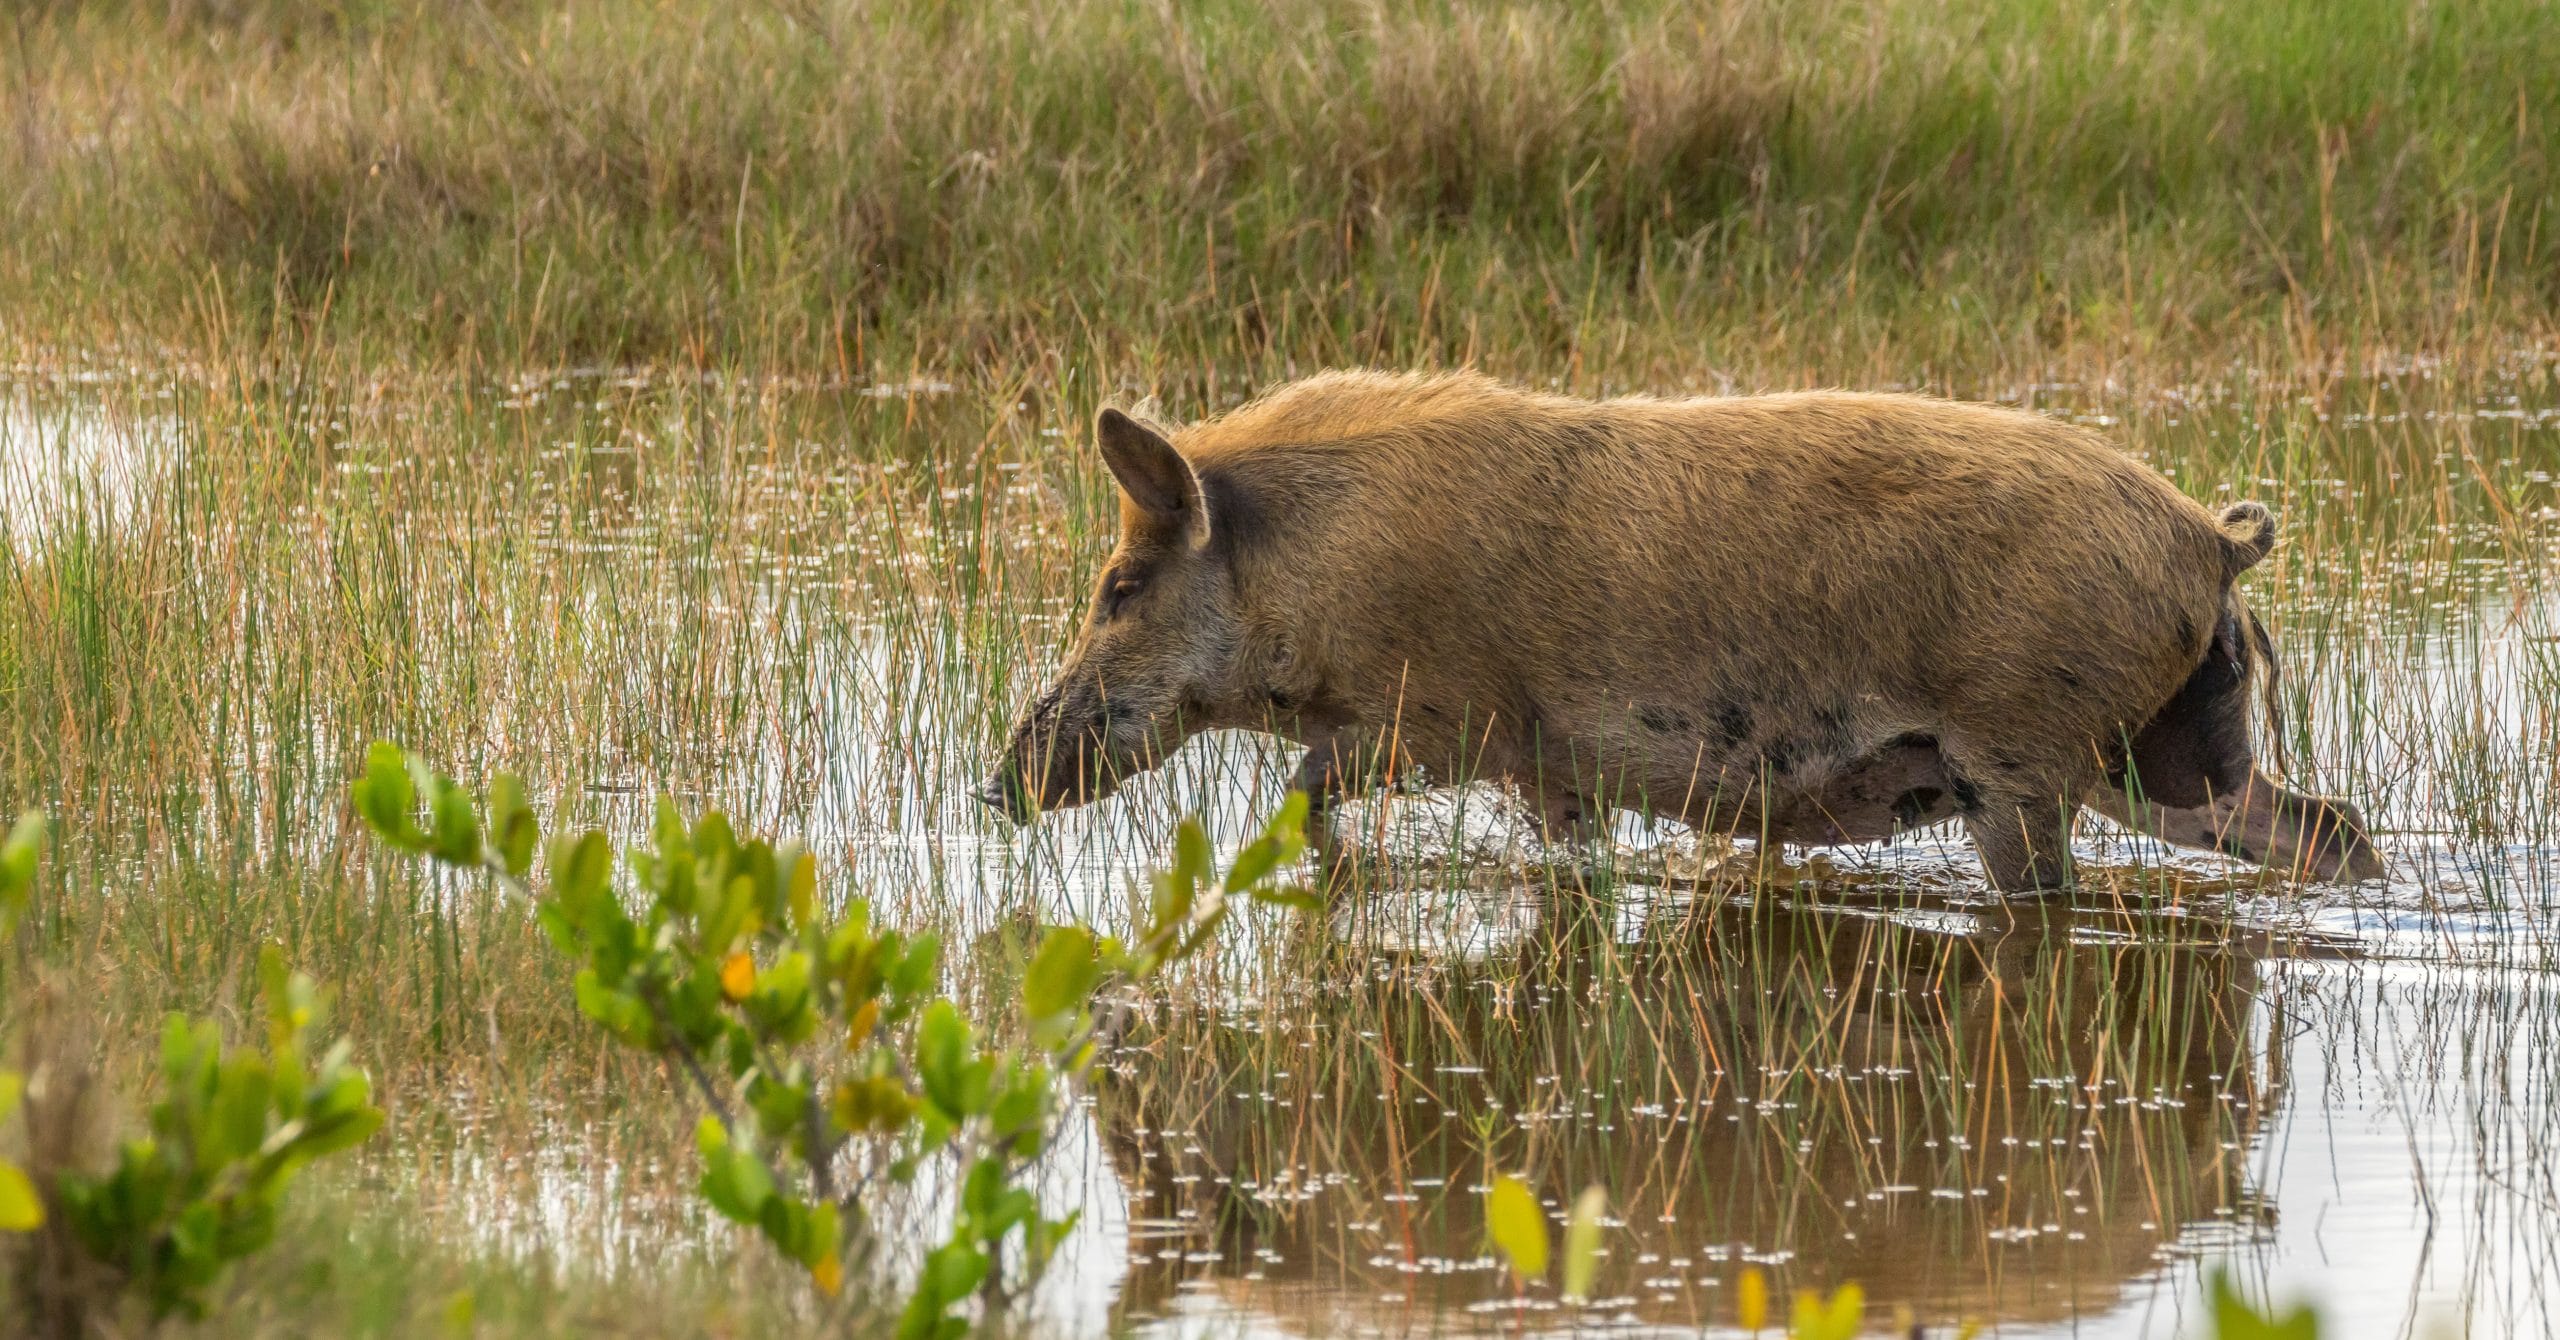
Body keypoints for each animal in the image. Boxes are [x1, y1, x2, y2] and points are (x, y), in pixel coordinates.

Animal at [981, 370, 2382, 891]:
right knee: (2321, 824)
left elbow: (1302, 787)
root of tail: (2209, 535)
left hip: (2028, 749)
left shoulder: (1438, 718)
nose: (997, 781)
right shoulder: (1543, 761)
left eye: (1118, 586)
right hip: (2164, 750)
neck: (1317, 569)